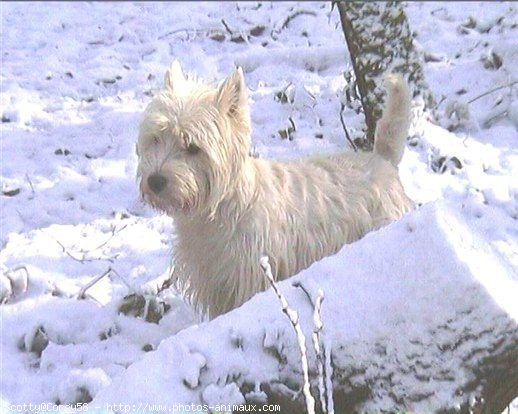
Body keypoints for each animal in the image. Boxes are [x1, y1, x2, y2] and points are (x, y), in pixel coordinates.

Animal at [138, 61, 414, 318]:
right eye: (156, 138)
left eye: (193, 147)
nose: (155, 181)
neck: (215, 212)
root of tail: (383, 159)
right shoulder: (216, 284)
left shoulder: (251, 275)